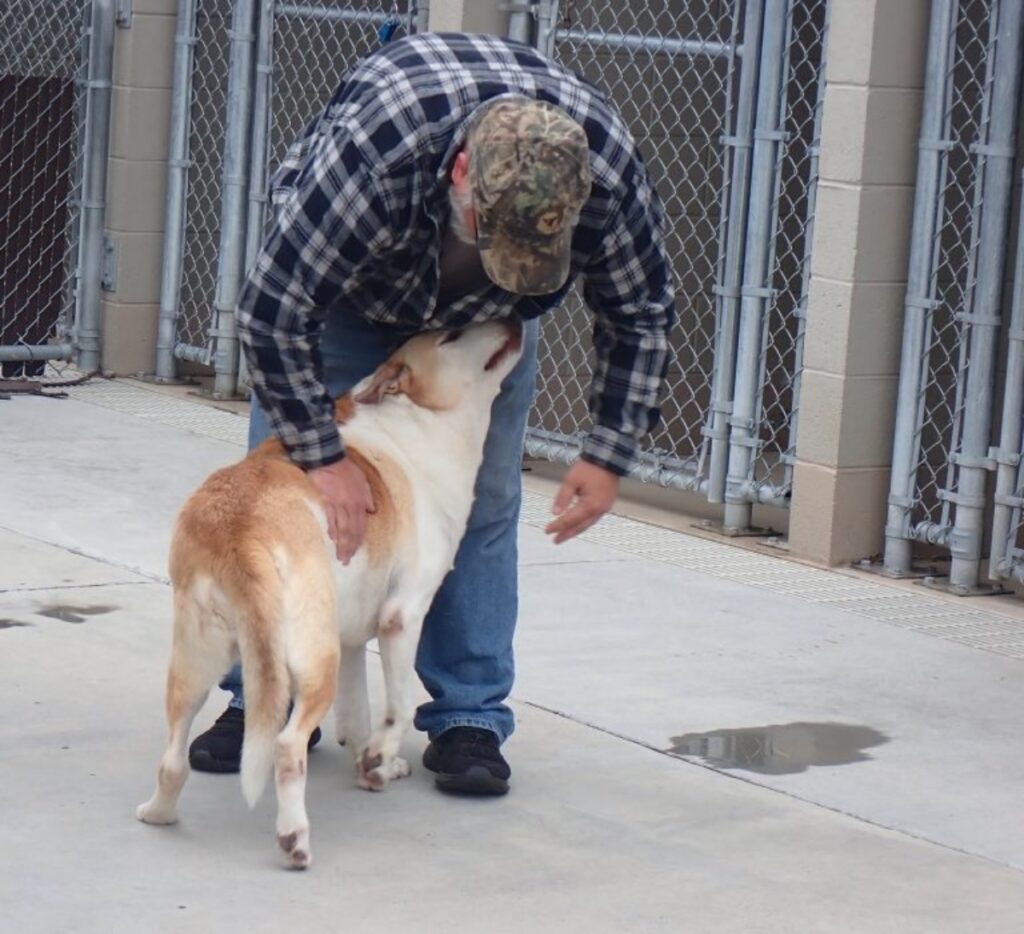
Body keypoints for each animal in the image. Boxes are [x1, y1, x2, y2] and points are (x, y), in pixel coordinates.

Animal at [137, 319, 524, 868]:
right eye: (450, 334)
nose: (515, 319)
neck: (421, 420)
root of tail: (240, 531)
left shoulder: (352, 640)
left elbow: (358, 714)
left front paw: (372, 766)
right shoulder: (401, 617)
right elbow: (398, 706)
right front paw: (382, 757)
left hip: (197, 659)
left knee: (173, 755)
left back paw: (159, 814)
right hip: (313, 658)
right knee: (286, 745)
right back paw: (294, 839)